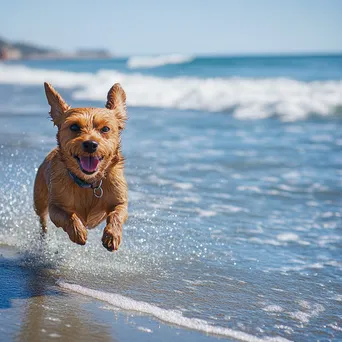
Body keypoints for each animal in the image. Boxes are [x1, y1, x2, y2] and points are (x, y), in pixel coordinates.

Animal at [33, 83, 128, 251]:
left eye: (105, 129)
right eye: (74, 127)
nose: (90, 144)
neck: (89, 183)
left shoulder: (120, 202)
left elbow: (117, 214)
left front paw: (112, 235)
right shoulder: (55, 207)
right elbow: (67, 216)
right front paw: (77, 231)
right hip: (39, 201)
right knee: (43, 221)